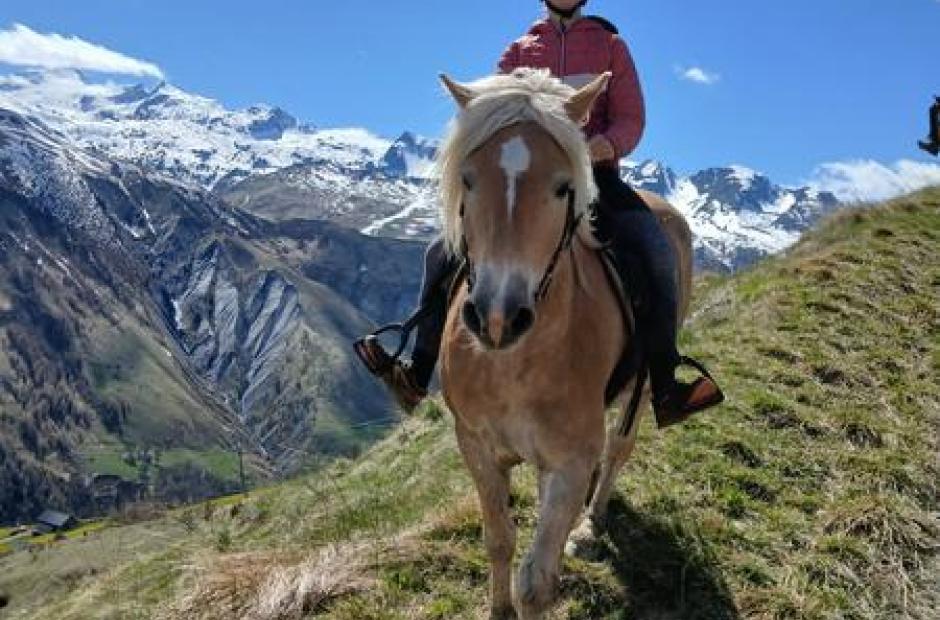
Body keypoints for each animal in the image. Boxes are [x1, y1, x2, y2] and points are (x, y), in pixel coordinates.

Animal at [436, 68, 693, 620]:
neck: (515, 365)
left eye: (562, 187)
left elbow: (536, 582)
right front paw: (498, 609)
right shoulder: (476, 445)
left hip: (641, 388)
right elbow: (499, 540)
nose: (497, 317)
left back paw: (589, 527)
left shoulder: (573, 462)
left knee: (619, 449)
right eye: (467, 179)